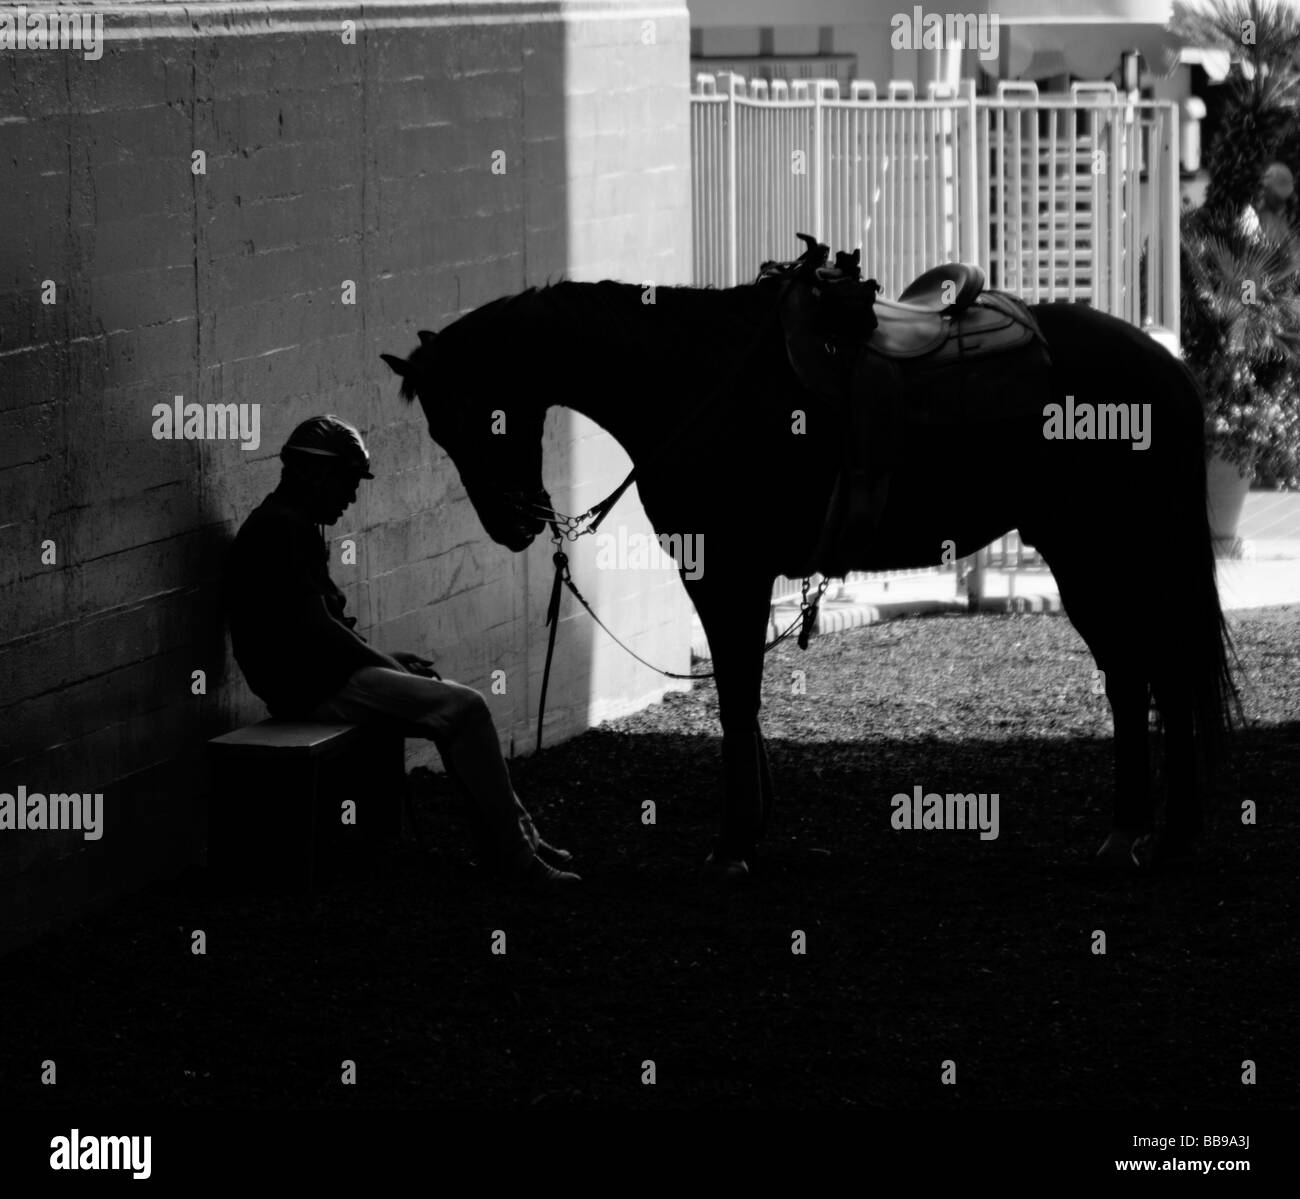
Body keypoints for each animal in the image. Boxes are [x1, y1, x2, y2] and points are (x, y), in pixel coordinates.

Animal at [381, 263, 1241, 877]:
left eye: (474, 415)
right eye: (437, 430)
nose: (515, 523)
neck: (695, 376)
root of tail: (1164, 367)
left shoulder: (727, 572)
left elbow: (735, 696)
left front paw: (734, 842)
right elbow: (743, 697)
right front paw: (750, 827)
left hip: (1105, 550)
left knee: (1155, 676)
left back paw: (1159, 836)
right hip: (1089, 553)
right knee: (1136, 679)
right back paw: (1139, 833)